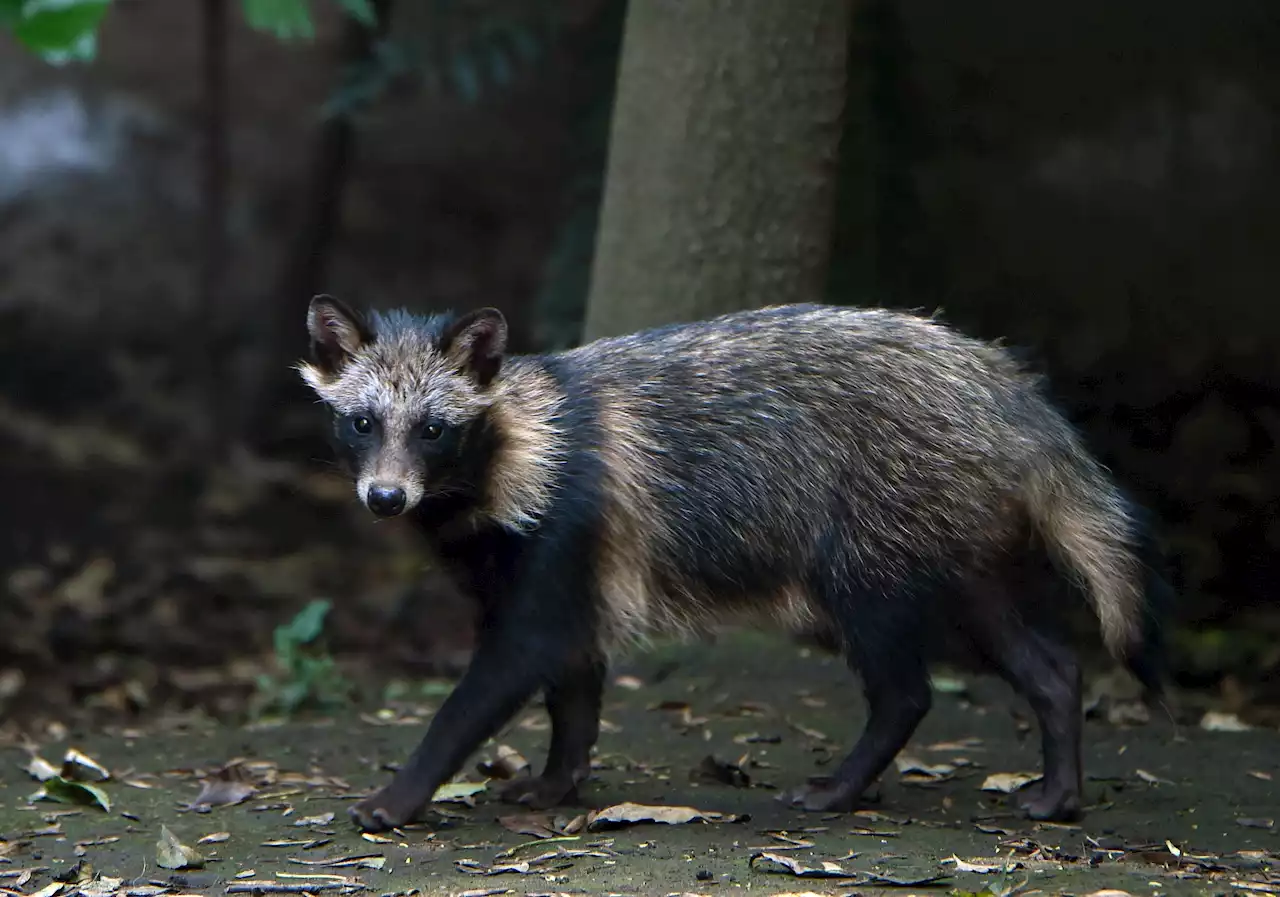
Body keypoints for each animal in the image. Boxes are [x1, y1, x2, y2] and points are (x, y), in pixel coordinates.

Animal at [296, 295, 1172, 834]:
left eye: (433, 429)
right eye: (363, 422)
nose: (384, 497)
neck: (512, 448)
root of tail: (1001, 386)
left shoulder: (563, 536)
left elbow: (493, 682)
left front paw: (404, 789)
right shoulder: (549, 571)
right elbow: (573, 687)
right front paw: (558, 778)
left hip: (872, 539)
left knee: (904, 686)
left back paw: (846, 781)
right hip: (956, 548)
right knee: (1047, 661)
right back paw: (1060, 778)